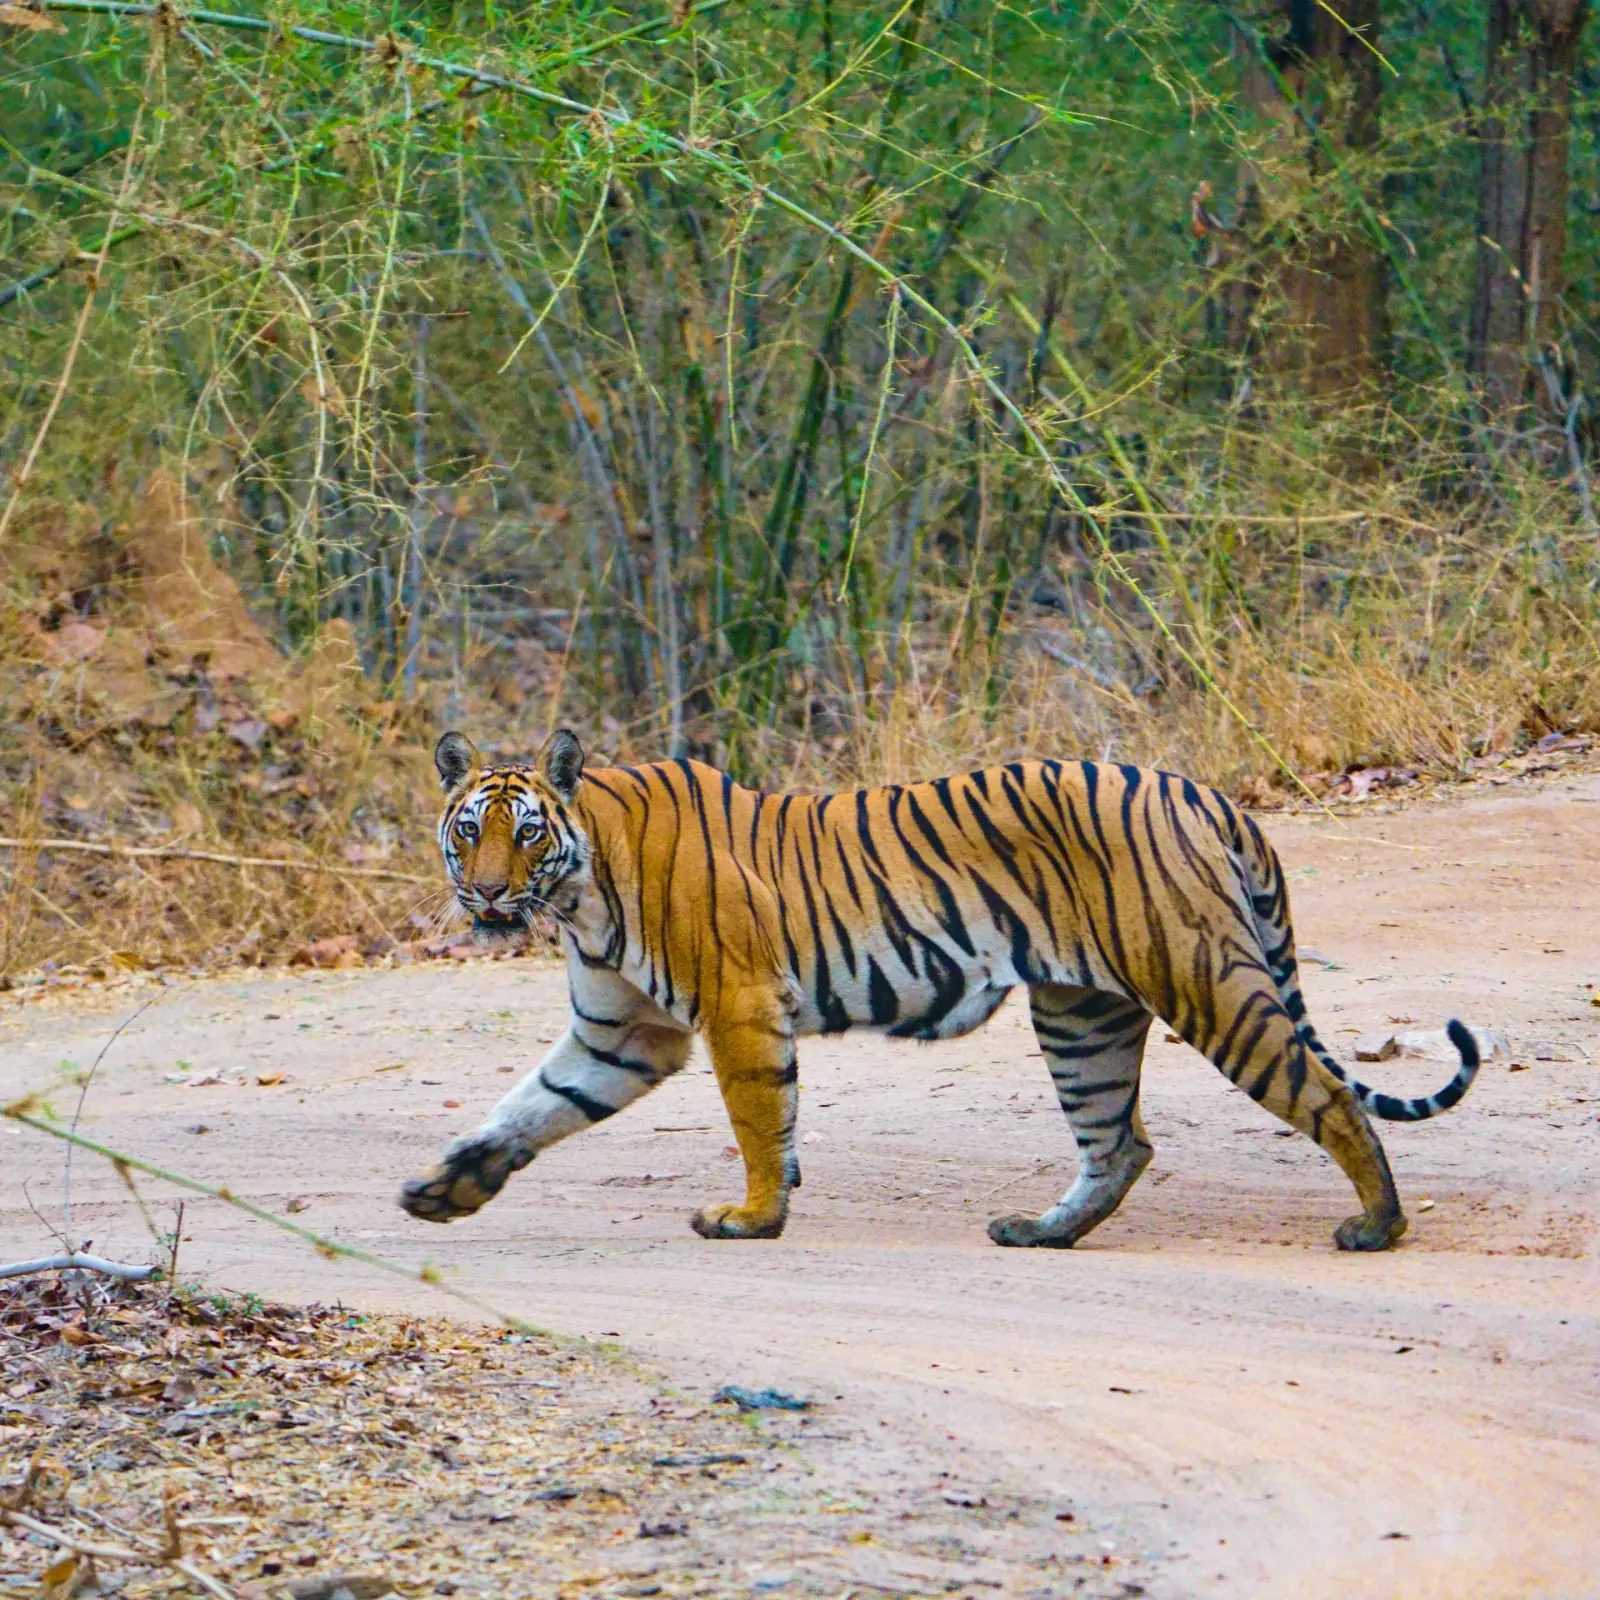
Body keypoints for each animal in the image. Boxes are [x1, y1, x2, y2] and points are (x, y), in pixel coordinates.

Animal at [398, 729, 1480, 1252]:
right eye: (468, 831)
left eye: (526, 832)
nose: (485, 892)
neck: (583, 889)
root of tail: (1209, 794)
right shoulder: (622, 1031)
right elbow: (531, 1107)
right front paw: (446, 1188)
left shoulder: (737, 1007)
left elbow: (759, 1123)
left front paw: (753, 1218)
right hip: (1080, 1015)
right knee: (1119, 1141)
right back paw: (1042, 1232)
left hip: (1206, 981)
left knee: (1328, 1095)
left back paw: (1377, 1226)